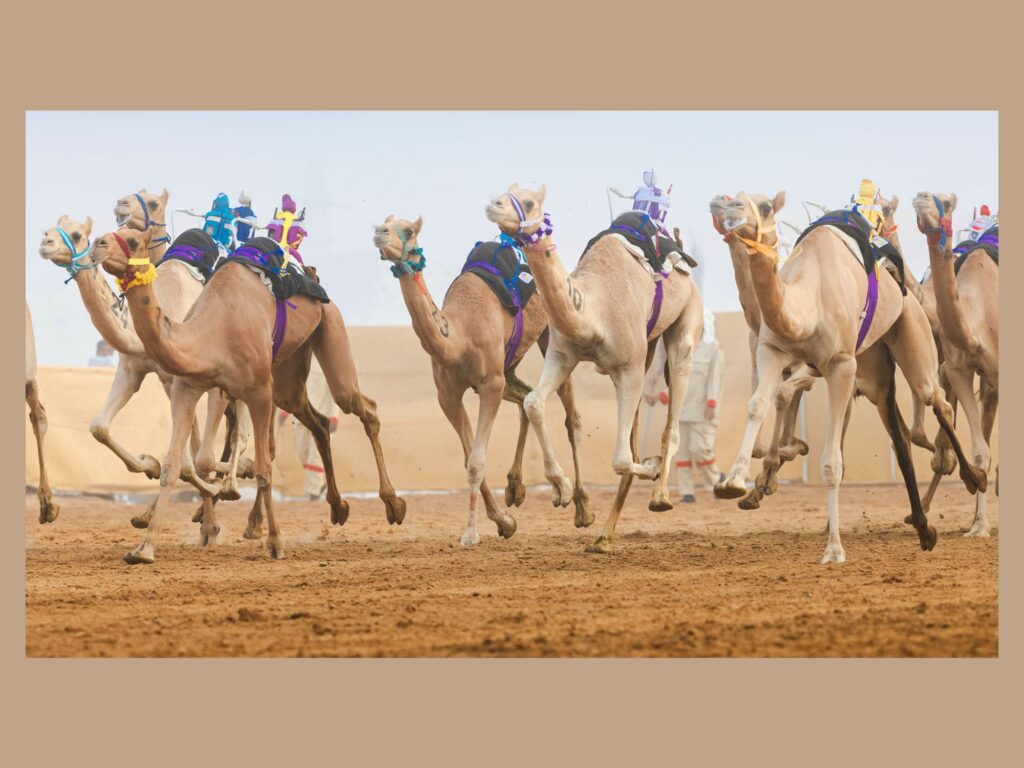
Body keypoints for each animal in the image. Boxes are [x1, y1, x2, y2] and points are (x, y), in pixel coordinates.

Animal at [92, 226, 405, 564]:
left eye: (133, 239)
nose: (97, 244)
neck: (212, 334)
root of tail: (313, 276)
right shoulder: (186, 388)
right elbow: (174, 466)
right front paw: (144, 548)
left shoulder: (257, 391)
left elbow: (262, 468)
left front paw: (275, 542)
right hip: (288, 373)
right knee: (319, 422)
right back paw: (338, 506)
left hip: (329, 328)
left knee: (362, 406)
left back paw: (393, 504)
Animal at [373, 215, 590, 546]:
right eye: (385, 221)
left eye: (408, 229)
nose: (380, 232)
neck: (458, 337)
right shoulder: (448, 395)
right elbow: (469, 458)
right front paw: (505, 521)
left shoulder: (489, 383)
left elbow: (476, 462)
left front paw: (471, 533)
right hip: (509, 365)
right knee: (525, 398)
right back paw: (517, 487)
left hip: (548, 332)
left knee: (570, 414)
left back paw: (579, 504)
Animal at [486, 184, 703, 553]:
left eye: (528, 201)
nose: (493, 205)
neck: (591, 312)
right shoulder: (563, 355)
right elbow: (534, 403)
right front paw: (560, 487)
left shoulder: (628, 368)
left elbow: (619, 459)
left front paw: (650, 467)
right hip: (648, 348)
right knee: (633, 436)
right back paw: (603, 537)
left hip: (686, 324)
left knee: (671, 420)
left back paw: (660, 494)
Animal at [712, 191, 984, 563]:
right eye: (735, 198)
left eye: (765, 206)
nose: (725, 205)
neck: (806, 305)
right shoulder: (771, 350)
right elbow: (757, 405)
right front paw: (734, 482)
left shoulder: (841, 365)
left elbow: (832, 461)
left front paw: (834, 549)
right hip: (873, 365)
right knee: (899, 434)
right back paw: (924, 528)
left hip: (910, 331)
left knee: (936, 399)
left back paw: (974, 478)